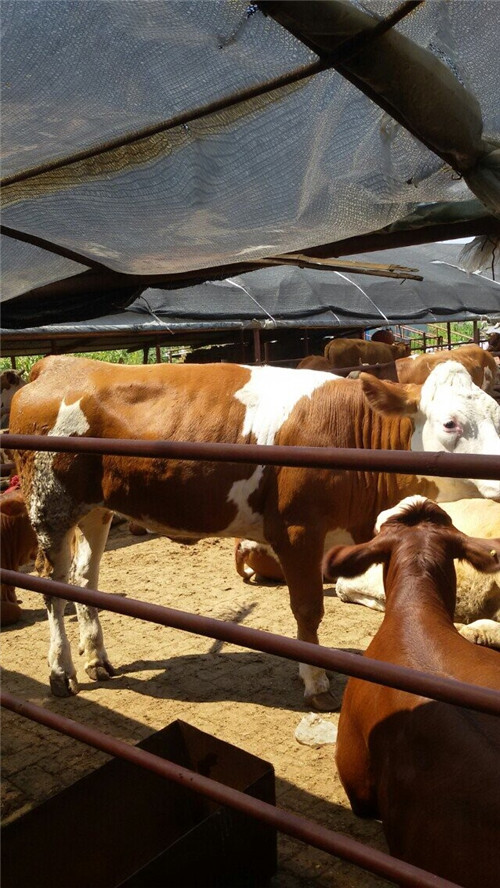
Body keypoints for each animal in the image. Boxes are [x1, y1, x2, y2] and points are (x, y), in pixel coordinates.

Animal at [8, 354, 500, 708]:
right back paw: (61, 672)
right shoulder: (298, 531)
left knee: (83, 580)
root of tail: (59, 364)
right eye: (450, 423)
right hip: (50, 507)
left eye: (496, 413)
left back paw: (97, 658)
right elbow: (308, 610)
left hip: (96, 509)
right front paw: (316, 682)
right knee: (53, 587)